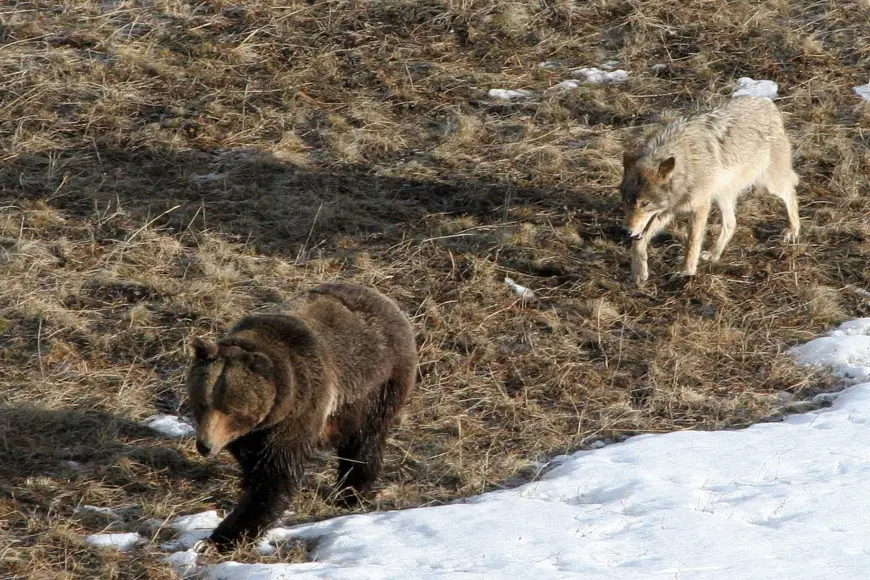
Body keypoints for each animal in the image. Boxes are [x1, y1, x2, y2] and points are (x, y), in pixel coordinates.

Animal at [189, 284, 420, 552]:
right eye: (202, 403)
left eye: (230, 409)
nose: (205, 445)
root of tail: (386, 300)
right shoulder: (253, 433)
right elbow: (254, 463)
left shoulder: (300, 409)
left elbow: (275, 476)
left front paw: (224, 535)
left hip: (376, 387)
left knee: (364, 441)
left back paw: (351, 493)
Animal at [624, 96, 800, 284]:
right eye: (627, 201)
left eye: (645, 204)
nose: (626, 231)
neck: (686, 167)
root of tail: (767, 102)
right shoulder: (666, 212)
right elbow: (638, 243)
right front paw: (639, 272)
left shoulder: (700, 207)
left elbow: (691, 243)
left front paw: (686, 272)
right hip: (722, 196)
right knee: (731, 223)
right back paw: (714, 254)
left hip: (768, 184)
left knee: (791, 193)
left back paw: (793, 230)